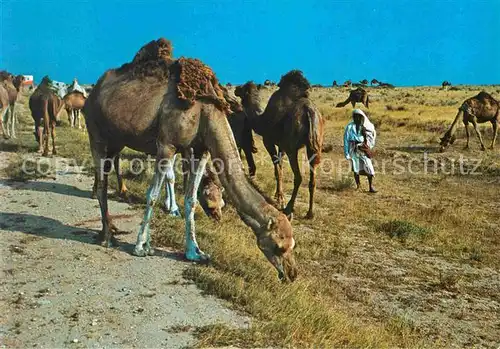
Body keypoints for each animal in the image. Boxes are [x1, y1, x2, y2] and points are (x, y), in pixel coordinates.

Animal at [83, 38, 296, 280]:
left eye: (293, 245)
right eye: (280, 246)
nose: (292, 274)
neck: (206, 111)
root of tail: (92, 92)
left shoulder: (201, 150)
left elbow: (191, 198)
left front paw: (194, 251)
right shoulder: (166, 145)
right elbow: (152, 195)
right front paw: (141, 246)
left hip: (117, 140)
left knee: (106, 172)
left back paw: (109, 228)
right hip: (96, 133)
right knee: (102, 181)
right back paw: (107, 237)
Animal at [235, 70, 324, 218]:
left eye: (243, 88)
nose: (236, 88)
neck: (261, 119)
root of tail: (309, 111)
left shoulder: (269, 141)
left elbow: (277, 169)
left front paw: (280, 199)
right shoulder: (281, 145)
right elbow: (280, 167)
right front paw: (279, 195)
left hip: (292, 148)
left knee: (298, 177)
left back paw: (289, 208)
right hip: (315, 146)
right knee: (313, 179)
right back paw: (310, 213)